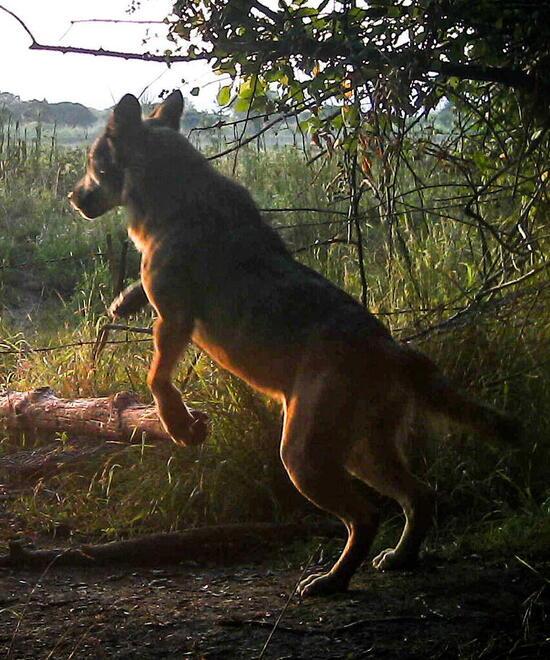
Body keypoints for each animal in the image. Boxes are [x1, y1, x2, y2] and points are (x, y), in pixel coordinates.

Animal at [69, 91, 519, 597]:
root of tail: (394, 351)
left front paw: (180, 425)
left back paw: (331, 581)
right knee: (419, 498)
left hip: (303, 456)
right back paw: (399, 559)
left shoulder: (175, 321)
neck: (172, 197)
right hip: (361, 452)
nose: (72, 197)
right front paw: (123, 303)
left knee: (366, 516)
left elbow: (157, 380)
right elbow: (140, 303)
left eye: (92, 164)